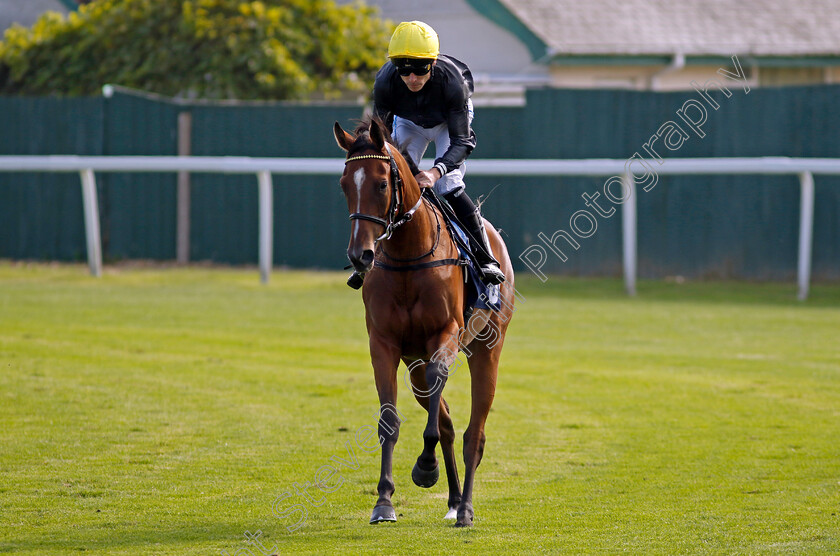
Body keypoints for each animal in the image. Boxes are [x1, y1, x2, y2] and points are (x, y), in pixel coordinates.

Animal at [334, 117, 516, 524]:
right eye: (344, 183)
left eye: (381, 183)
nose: (359, 255)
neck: (407, 257)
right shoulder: (383, 343)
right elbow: (390, 421)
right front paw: (384, 501)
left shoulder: (444, 333)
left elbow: (439, 386)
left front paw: (425, 468)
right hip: (414, 363)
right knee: (445, 419)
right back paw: (453, 500)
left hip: (488, 349)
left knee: (474, 433)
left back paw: (465, 509)